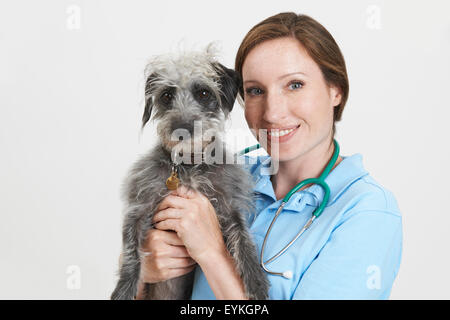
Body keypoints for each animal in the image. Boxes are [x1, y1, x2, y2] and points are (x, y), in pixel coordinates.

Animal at [110, 43, 268, 300]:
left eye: (203, 93)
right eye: (166, 96)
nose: (181, 128)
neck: (189, 166)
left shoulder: (230, 207)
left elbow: (244, 241)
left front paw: (256, 282)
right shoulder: (138, 207)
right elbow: (132, 254)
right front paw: (123, 290)